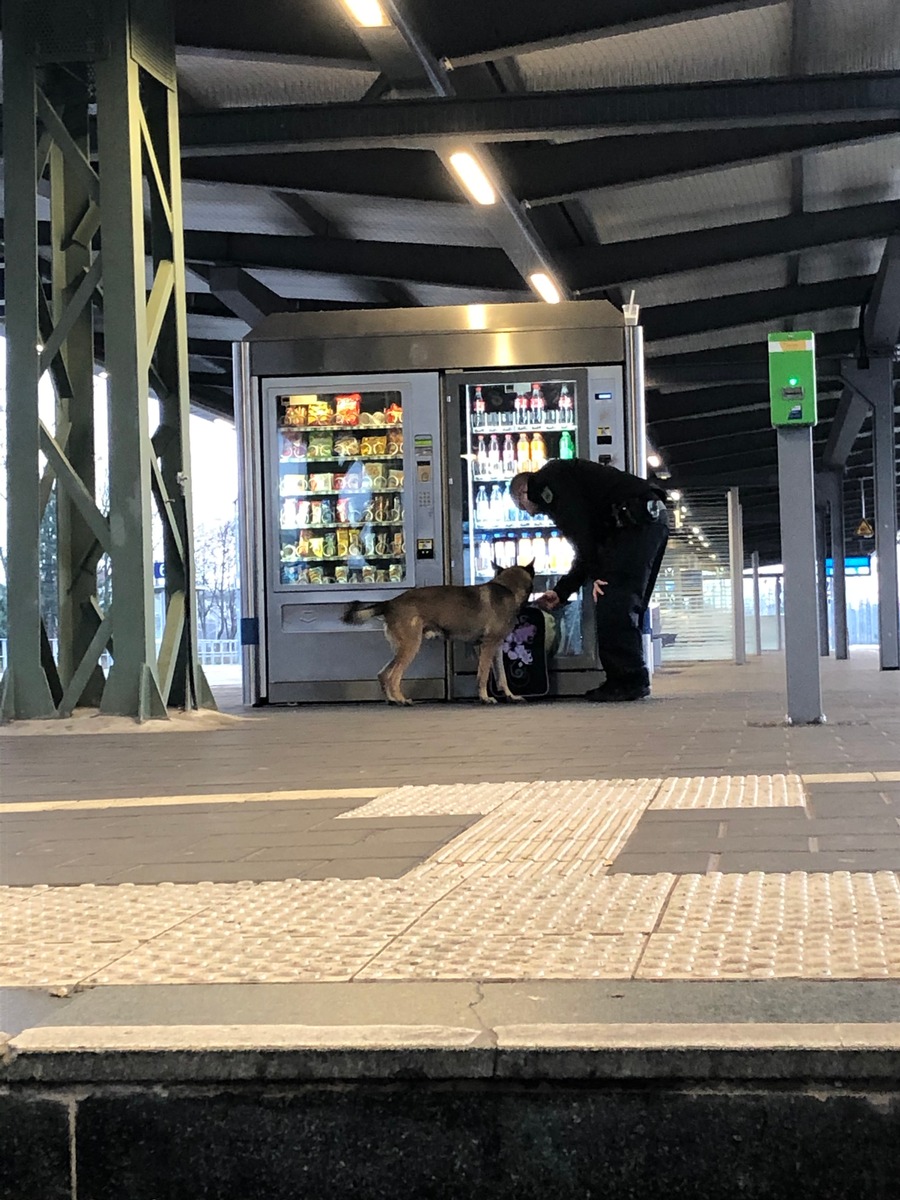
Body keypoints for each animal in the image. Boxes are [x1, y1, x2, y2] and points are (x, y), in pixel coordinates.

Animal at [340, 561, 535, 700]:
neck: (508, 588)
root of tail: (390, 603)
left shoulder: (495, 648)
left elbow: (501, 676)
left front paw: (510, 696)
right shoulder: (487, 646)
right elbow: (483, 675)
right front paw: (485, 698)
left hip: (401, 649)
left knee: (383, 674)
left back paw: (393, 700)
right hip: (411, 647)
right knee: (393, 676)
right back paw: (402, 700)